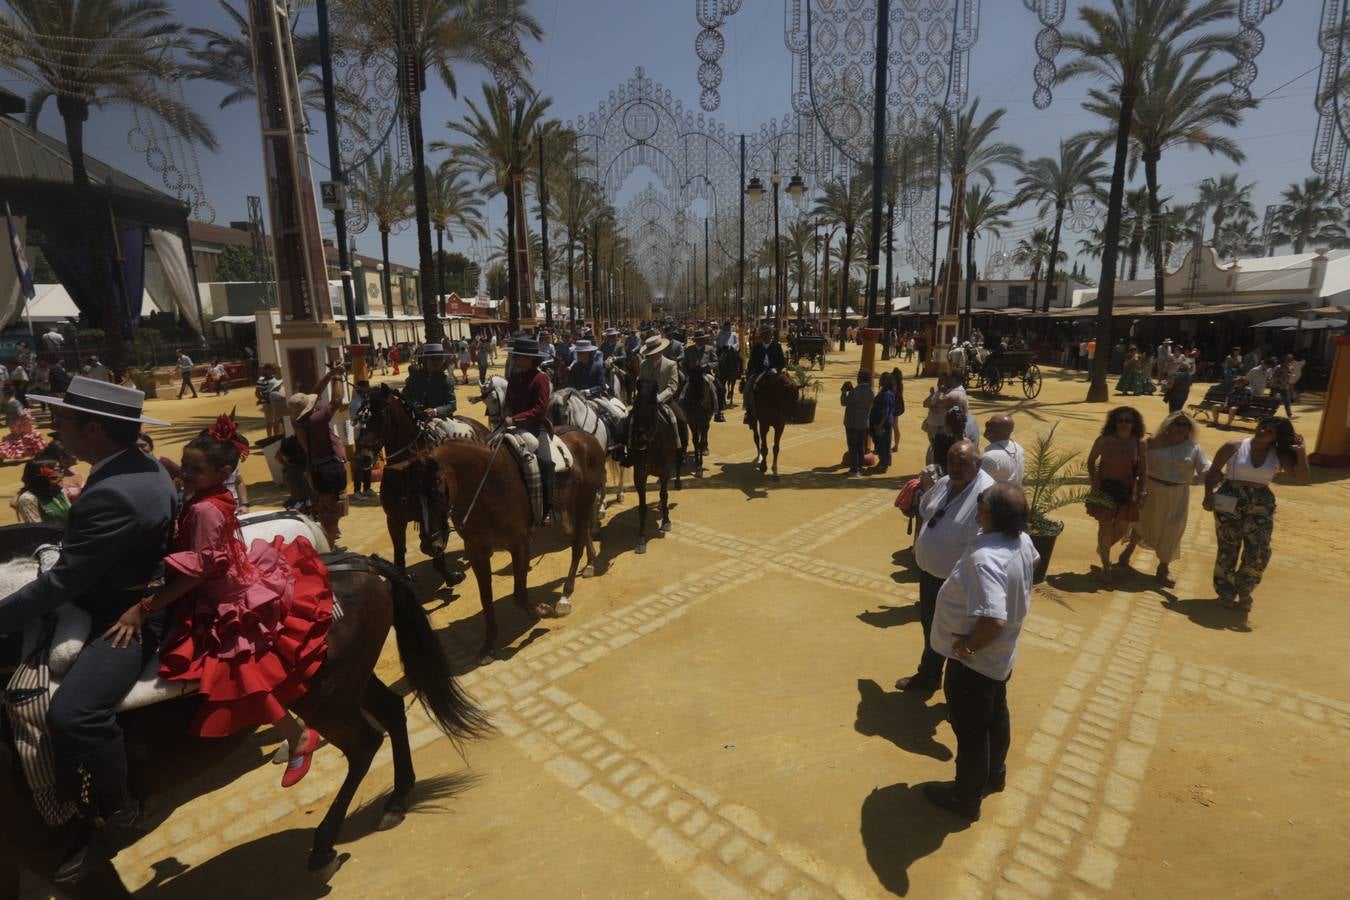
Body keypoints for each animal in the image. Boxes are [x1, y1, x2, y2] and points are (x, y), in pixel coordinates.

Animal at [0, 520, 486, 895]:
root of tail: (358, 564)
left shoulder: (51, 854)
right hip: (348, 682)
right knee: (391, 712)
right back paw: (396, 800)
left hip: (327, 699)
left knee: (365, 743)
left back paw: (323, 846)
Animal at [353, 385, 491, 580]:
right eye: (360, 415)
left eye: (382, 413)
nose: (362, 458)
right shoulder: (395, 520)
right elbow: (399, 557)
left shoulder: (434, 514)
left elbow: (437, 551)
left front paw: (451, 577)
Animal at [410, 426, 602, 666]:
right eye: (411, 493)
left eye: (436, 487)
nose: (430, 545)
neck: (489, 487)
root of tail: (586, 435)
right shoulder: (476, 551)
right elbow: (485, 598)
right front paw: (488, 646)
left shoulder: (519, 544)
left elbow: (519, 594)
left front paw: (543, 611)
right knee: (583, 536)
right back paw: (591, 563)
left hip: (584, 500)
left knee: (576, 545)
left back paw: (565, 597)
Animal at [626, 383, 680, 555]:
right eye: (635, 405)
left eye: (652, 406)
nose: (640, 439)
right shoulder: (639, 474)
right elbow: (642, 507)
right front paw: (641, 539)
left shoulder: (665, 471)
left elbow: (664, 495)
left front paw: (666, 521)